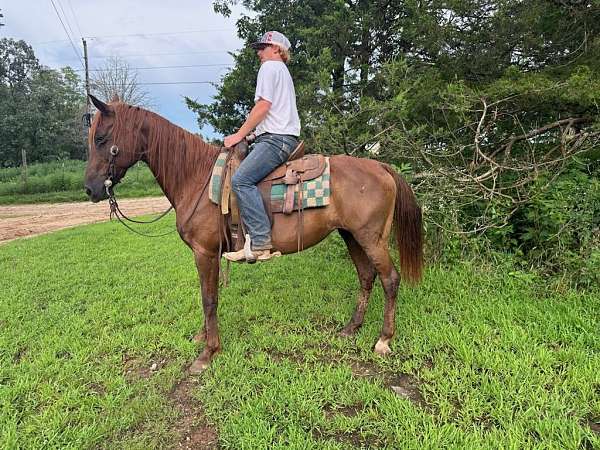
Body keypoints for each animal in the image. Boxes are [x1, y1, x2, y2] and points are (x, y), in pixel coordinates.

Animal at [84, 94, 424, 372]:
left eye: (101, 138)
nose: (89, 189)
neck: (196, 178)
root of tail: (382, 167)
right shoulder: (208, 254)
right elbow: (208, 295)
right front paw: (203, 337)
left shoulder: (205, 252)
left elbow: (209, 298)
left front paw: (208, 354)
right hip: (351, 235)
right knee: (366, 276)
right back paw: (351, 328)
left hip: (371, 238)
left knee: (390, 279)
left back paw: (383, 340)